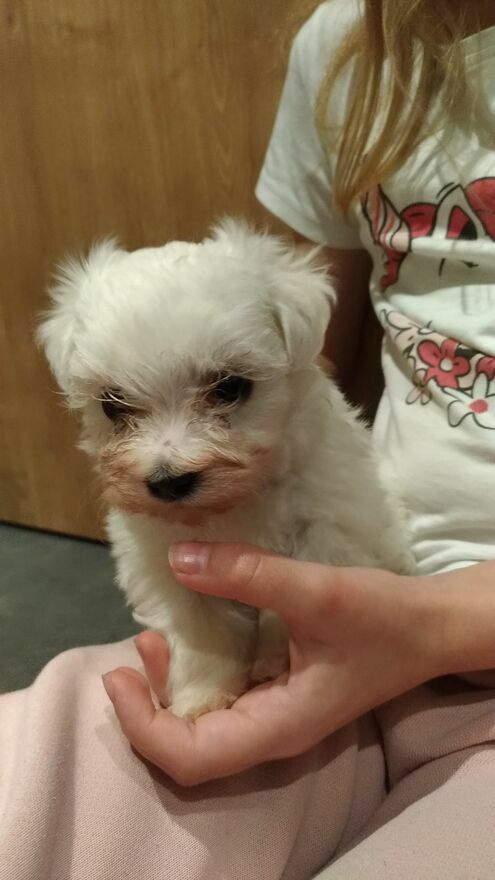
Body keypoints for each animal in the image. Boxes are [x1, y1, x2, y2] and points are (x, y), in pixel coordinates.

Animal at [38, 219, 412, 720]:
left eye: (231, 387)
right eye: (112, 404)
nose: (169, 481)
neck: (233, 502)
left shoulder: (326, 534)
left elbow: (286, 607)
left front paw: (274, 661)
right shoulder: (163, 559)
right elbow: (201, 628)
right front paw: (202, 694)